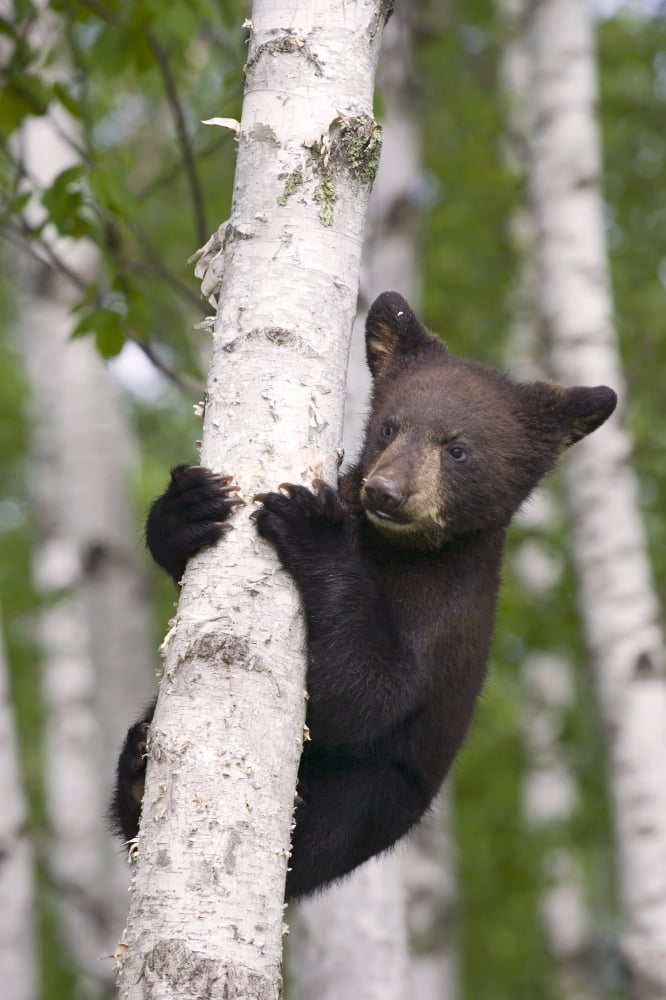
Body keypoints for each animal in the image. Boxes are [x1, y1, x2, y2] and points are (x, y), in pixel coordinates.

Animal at [111, 291, 617, 901]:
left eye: (458, 449)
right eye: (389, 428)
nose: (385, 491)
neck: (390, 546)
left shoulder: (443, 605)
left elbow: (366, 690)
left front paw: (311, 526)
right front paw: (187, 508)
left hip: (379, 797)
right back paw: (136, 767)